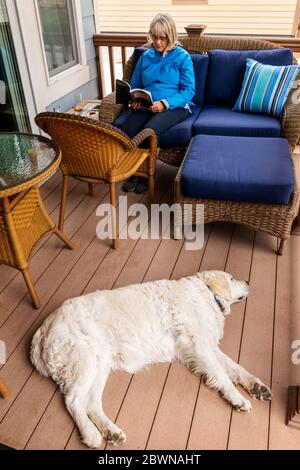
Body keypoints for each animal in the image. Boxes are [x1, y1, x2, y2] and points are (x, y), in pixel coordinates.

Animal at [30, 270, 272, 446]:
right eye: (231, 278)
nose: (248, 280)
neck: (206, 294)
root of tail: (43, 327)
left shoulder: (206, 345)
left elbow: (236, 368)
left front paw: (256, 387)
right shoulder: (199, 344)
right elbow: (223, 375)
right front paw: (238, 398)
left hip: (100, 365)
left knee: (91, 404)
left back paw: (111, 431)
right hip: (85, 363)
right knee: (73, 401)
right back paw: (91, 435)